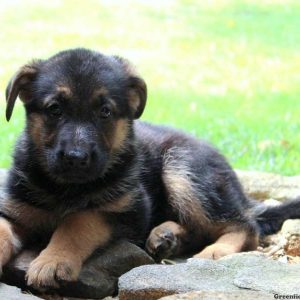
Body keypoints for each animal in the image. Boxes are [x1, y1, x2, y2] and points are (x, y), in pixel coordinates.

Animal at [0, 48, 300, 290]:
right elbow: (3, 230)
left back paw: (213, 251)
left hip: (182, 170)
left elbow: (78, 221)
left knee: (245, 226)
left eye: (105, 112)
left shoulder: (126, 210)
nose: (76, 158)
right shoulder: (14, 209)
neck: (66, 189)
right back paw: (167, 236)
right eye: (54, 109)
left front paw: (52, 260)